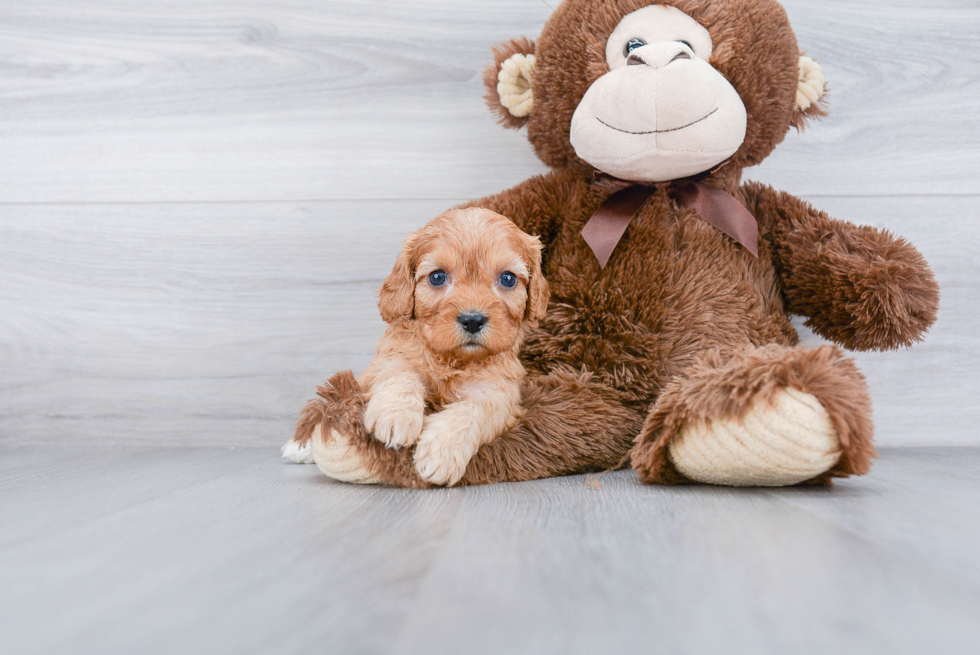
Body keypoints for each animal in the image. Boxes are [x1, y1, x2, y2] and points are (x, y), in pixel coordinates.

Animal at [290, 210, 552, 486]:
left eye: (508, 278)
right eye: (437, 277)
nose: (472, 320)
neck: (450, 359)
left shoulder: (499, 392)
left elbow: (473, 410)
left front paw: (441, 451)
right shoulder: (389, 359)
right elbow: (400, 374)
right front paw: (395, 415)